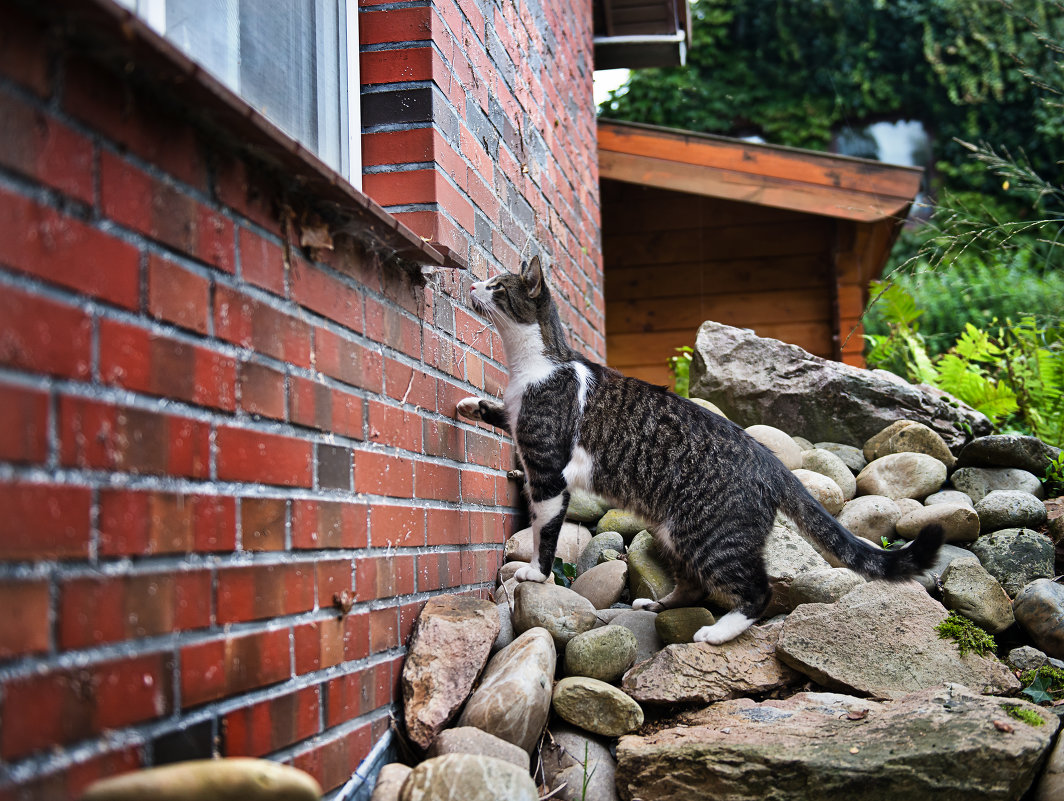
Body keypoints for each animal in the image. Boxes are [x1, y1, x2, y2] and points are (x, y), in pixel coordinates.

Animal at [461, 256, 944, 642]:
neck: (534, 367)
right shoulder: (520, 423)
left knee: (757, 590)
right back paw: (659, 605)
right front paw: (472, 405)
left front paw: (535, 573)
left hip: (712, 537)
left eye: (498, 287)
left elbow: (544, 530)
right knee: (694, 584)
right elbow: (502, 415)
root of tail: (770, 462)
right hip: (672, 531)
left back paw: (718, 632)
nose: (471, 284)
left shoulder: (547, 472)